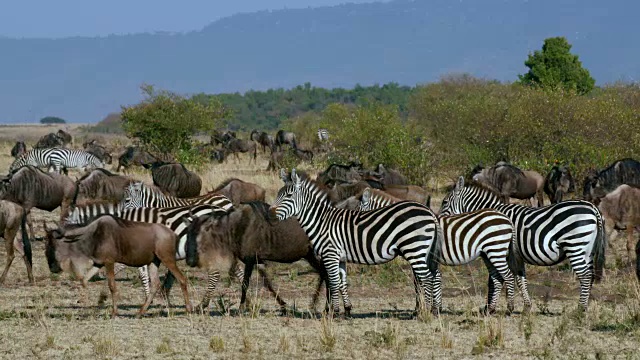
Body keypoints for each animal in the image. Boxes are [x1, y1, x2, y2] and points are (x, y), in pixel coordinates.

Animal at [268, 169, 442, 316]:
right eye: (278, 194)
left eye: (289, 196)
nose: (269, 214)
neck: (322, 221)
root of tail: (429, 212)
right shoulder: (340, 257)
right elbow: (342, 283)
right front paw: (347, 310)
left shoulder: (330, 254)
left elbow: (333, 282)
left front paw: (334, 313)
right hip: (423, 251)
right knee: (431, 275)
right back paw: (430, 310)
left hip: (414, 248)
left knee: (426, 277)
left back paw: (425, 313)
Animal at [360, 187, 520, 314]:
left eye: (361, 213)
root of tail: (506, 219)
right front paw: (434, 308)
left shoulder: (418, 256)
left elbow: (418, 284)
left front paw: (419, 309)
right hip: (488, 253)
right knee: (498, 278)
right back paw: (490, 310)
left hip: (496, 249)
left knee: (508, 276)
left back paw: (509, 309)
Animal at [440, 176, 604, 310]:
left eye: (444, 202)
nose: (439, 222)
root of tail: (592, 207)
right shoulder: (516, 255)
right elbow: (520, 279)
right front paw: (526, 306)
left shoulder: (500, 251)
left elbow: (494, 280)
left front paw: (491, 306)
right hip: (588, 251)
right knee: (590, 276)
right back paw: (585, 306)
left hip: (575, 245)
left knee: (585, 276)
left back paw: (580, 309)